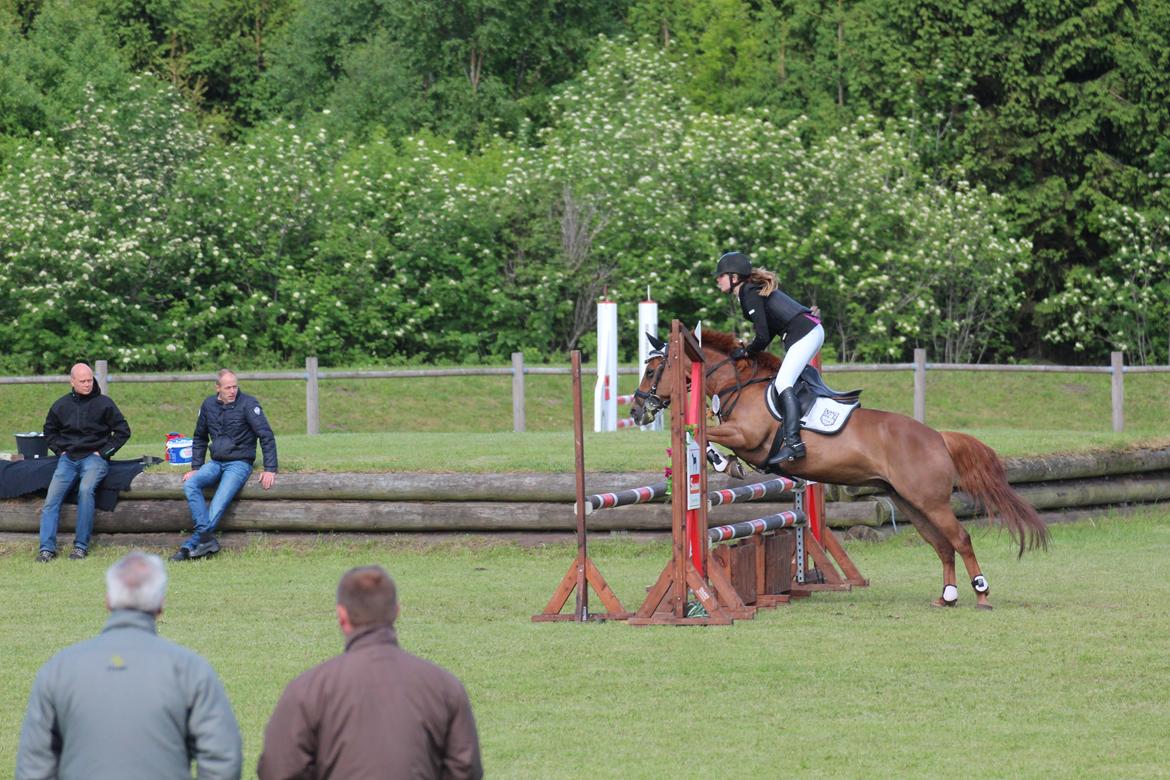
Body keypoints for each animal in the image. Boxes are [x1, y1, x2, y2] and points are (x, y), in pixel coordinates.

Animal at [631, 329, 1053, 608]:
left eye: (652, 370)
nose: (636, 411)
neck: (740, 384)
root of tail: (938, 437)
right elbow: (701, 433)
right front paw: (724, 462)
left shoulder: (748, 436)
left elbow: (702, 434)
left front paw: (721, 461)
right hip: (911, 502)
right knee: (942, 545)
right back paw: (946, 597)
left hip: (930, 501)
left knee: (960, 540)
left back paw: (981, 592)